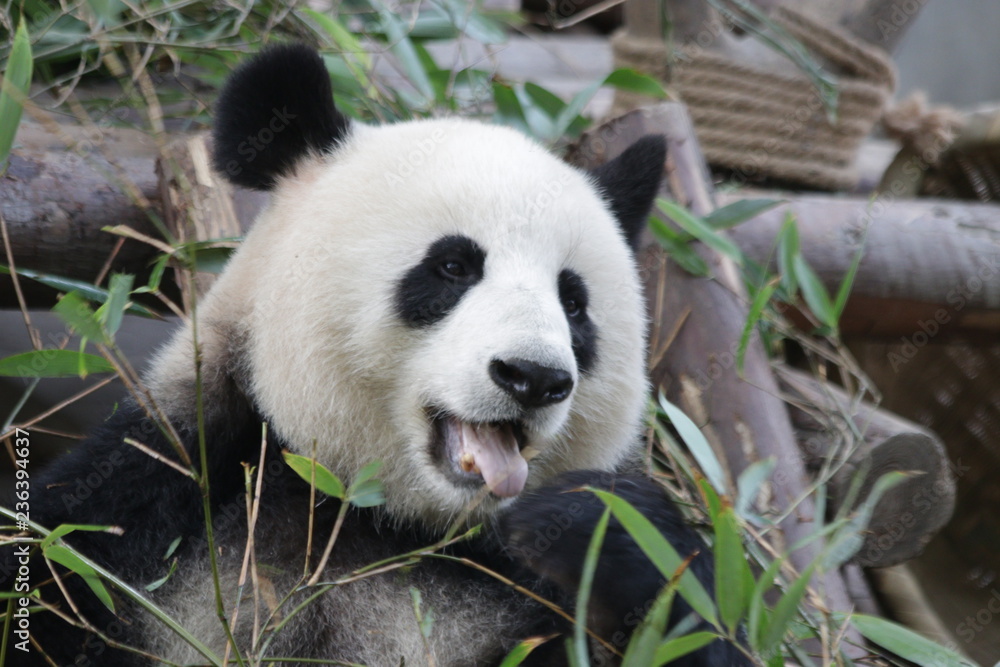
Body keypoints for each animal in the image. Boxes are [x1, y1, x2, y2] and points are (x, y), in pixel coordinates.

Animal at [1, 44, 751, 666]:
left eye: (573, 302)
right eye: (452, 266)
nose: (534, 378)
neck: (380, 516)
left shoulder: (527, 597)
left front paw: (600, 526)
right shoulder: (147, 508)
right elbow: (53, 579)